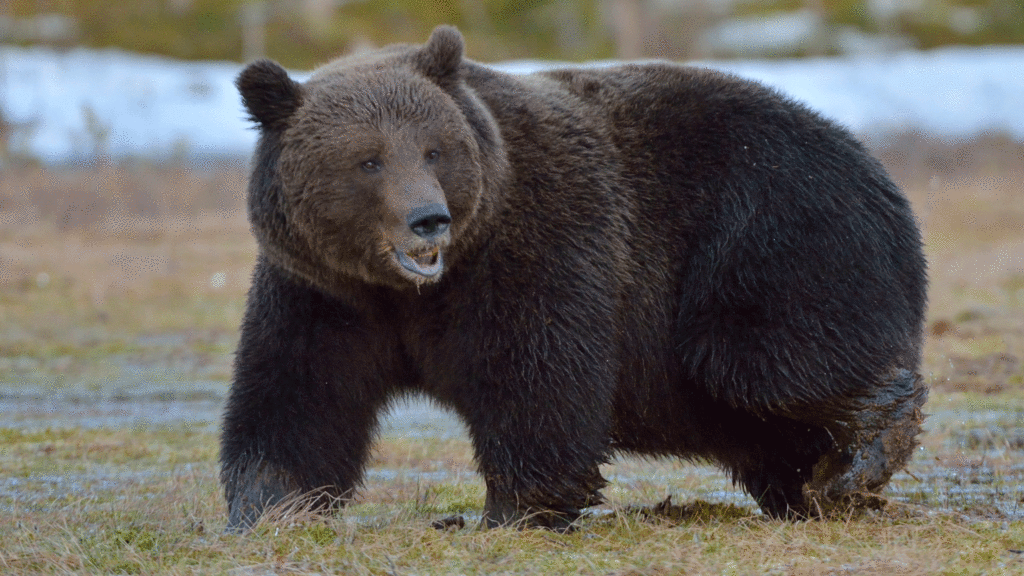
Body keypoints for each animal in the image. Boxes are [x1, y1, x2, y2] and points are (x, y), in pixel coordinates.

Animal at [220, 25, 928, 531]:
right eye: (367, 160)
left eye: (433, 150)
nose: (428, 220)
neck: (411, 292)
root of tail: (876, 166)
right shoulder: (320, 292)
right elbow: (298, 395)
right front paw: (269, 505)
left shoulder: (537, 242)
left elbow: (537, 371)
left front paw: (512, 509)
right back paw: (822, 482)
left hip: (767, 232)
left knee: (758, 359)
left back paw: (864, 450)